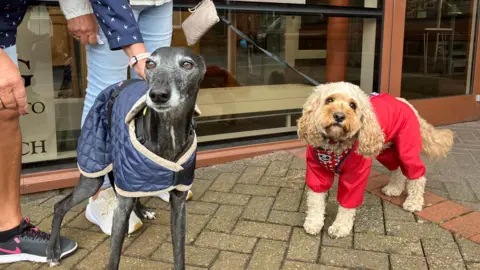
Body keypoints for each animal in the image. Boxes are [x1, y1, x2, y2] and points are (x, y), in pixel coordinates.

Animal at [300, 81, 454, 237]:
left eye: (353, 105)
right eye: (329, 100)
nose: (339, 116)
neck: (335, 144)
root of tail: (405, 102)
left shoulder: (356, 174)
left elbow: (347, 203)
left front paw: (340, 227)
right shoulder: (316, 170)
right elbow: (315, 200)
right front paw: (314, 223)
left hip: (407, 149)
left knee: (417, 176)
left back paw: (414, 202)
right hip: (386, 150)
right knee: (398, 168)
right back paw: (394, 188)